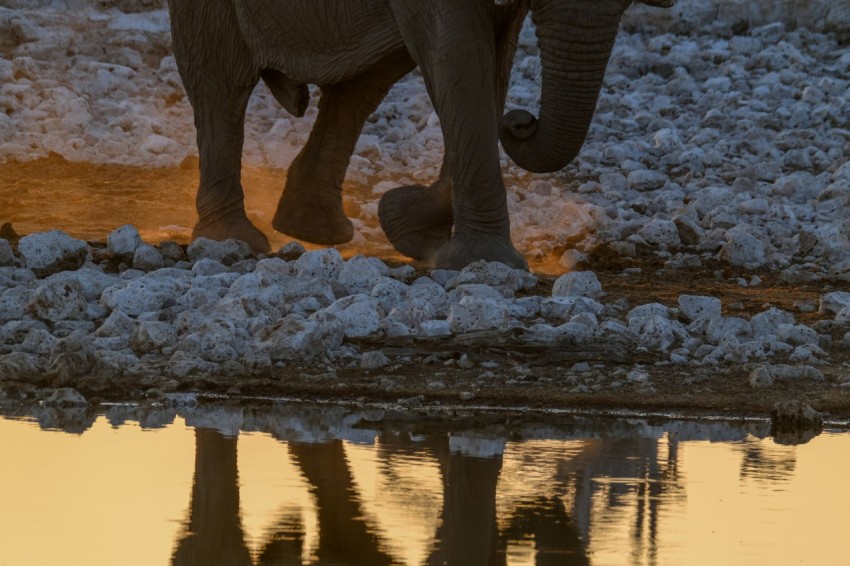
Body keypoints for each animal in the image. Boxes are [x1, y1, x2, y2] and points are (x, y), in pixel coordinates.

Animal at [167, 0, 668, 270]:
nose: (521, 122)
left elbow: (490, 62)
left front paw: (415, 233)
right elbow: (460, 58)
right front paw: (479, 262)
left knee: (367, 81)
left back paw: (312, 230)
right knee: (221, 85)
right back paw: (232, 242)